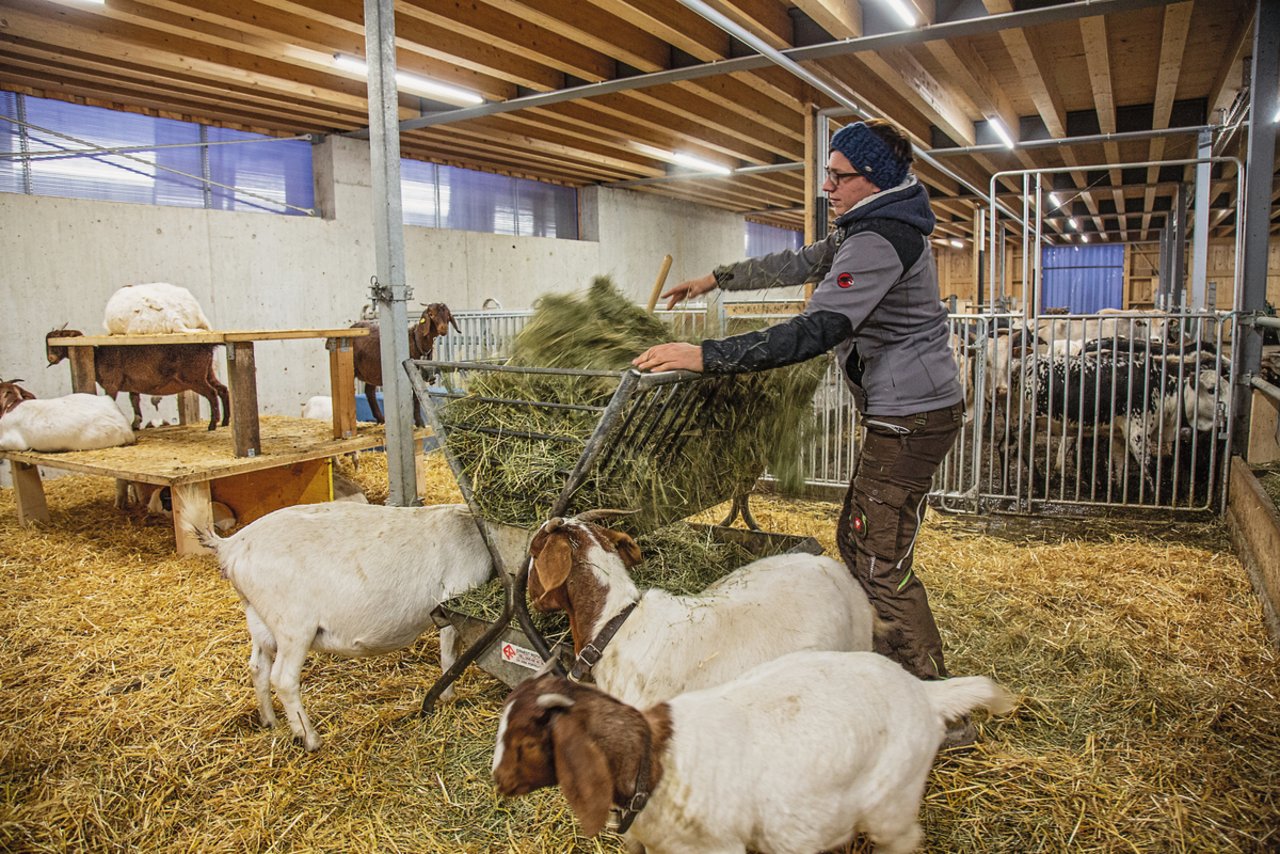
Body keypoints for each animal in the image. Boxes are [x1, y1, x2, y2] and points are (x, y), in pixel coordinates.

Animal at [46, 330, 231, 435]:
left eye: (57, 340)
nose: (51, 358)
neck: (97, 356)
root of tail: (208, 346)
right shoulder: (132, 385)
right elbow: (134, 401)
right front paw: (135, 424)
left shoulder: (111, 384)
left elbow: (112, 402)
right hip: (207, 373)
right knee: (223, 390)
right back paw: (225, 421)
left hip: (194, 378)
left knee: (212, 393)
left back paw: (213, 424)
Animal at [494, 650, 1013, 850]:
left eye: (525, 740)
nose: (498, 781)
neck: (655, 763)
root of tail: (923, 692)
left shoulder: (715, 849)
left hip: (893, 802)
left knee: (904, 840)